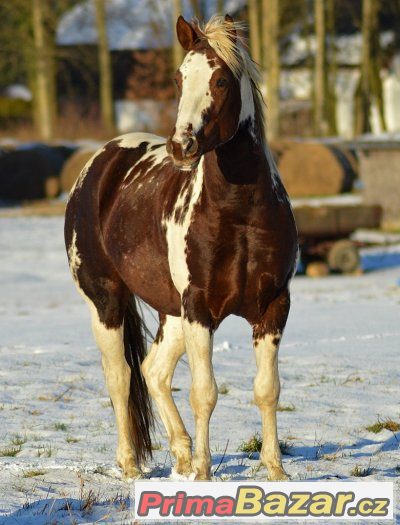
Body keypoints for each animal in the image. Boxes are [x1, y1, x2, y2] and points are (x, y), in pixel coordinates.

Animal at [64, 15, 296, 484]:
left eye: (221, 80)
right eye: (179, 78)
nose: (181, 146)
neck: (240, 214)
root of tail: (100, 162)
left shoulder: (272, 306)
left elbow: (267, 390)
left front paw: (276, 471)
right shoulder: (201, 309)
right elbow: (204, 392)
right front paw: (205, 474)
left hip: (171, 313)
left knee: (153, 372)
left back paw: (182, 454)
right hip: (107, 302)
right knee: (120, 377)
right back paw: (131, 466)